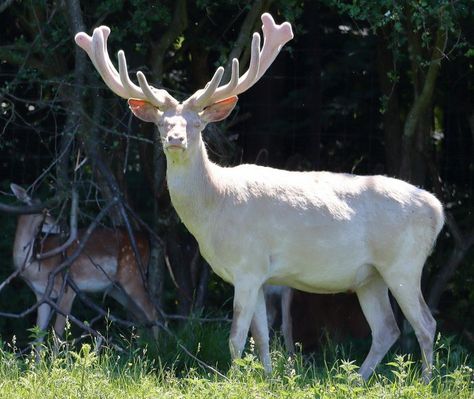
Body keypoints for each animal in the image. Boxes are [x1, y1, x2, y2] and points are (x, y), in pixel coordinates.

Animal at [10, 184, 158, 340]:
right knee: (140, 316)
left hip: (132, 275)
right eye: (46, 212)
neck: (36, 267)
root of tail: (146, 240)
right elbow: (38, 336)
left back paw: (158, 344)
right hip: (116, 288)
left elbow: (58, 333)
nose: (64, 227)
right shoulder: (41, 296)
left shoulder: (67, 288)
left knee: (152, 311)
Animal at [75, 13, 444, 382]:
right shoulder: (261, 275)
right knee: (386, 329)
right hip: (369, 276)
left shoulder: (248, 265)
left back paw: (424, 382)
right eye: (163, 124)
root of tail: (437, 210)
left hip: (403, 263)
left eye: (197, 124)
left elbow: (237, 336)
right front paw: (267, 378)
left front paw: (232, 380)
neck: (214, 209)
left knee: (426, 324)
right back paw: (356, 380)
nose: (176, 139)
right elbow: (262, 338)